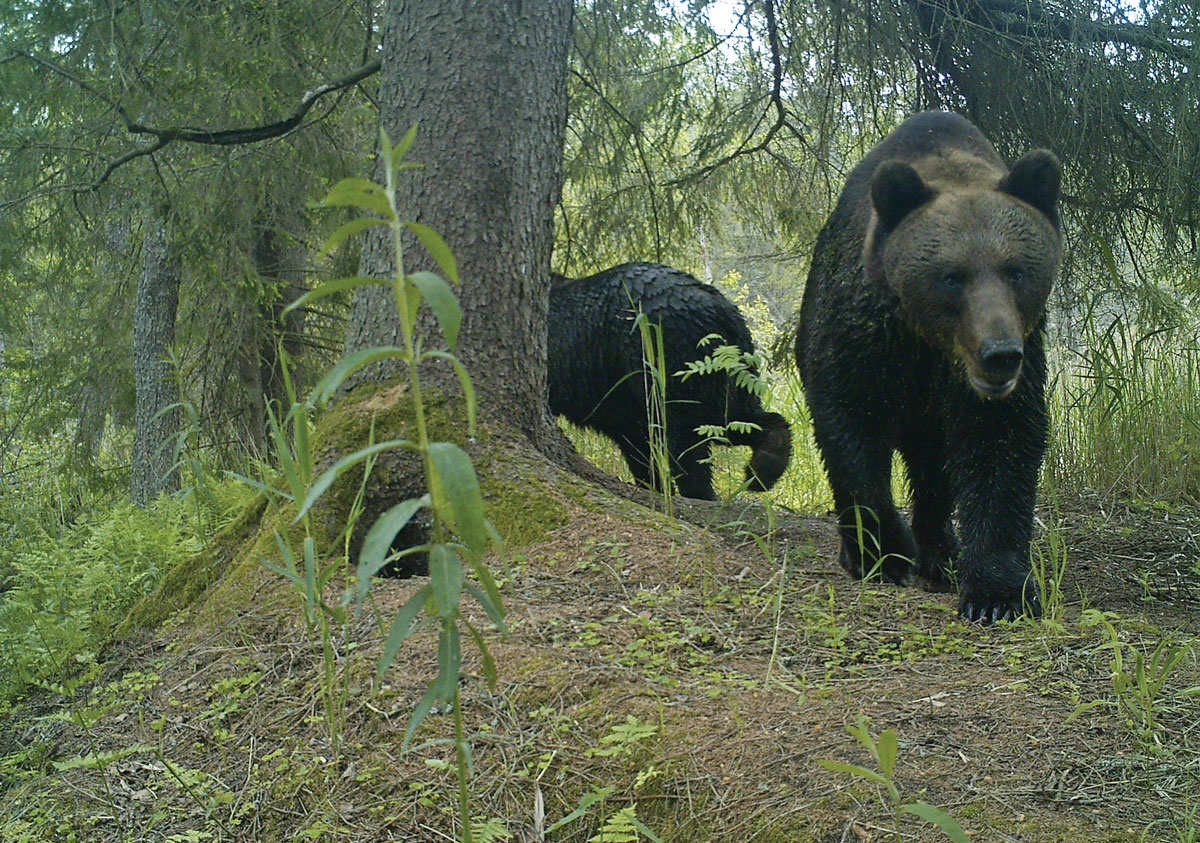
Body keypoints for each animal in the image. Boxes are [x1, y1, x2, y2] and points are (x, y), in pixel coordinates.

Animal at [549, 262, 792, 501]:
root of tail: (720, 309)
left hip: (667, 362)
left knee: (685, 440)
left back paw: (702, 491)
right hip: (722, 372)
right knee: (731, 419)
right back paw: (765, 466)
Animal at [795, 111, 1062, 623]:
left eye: (1015, 270)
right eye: (951, 276)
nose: (999, 354)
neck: (932, 344)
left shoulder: (1008, 368)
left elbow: (1001, 445)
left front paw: (997, 592)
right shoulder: (864, 337)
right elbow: (850, 426)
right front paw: (881, 553)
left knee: (934, 473)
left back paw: (941, 552)